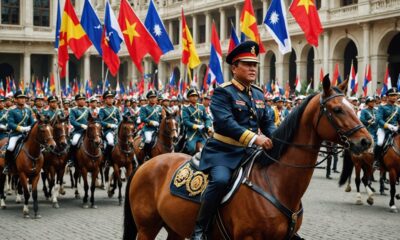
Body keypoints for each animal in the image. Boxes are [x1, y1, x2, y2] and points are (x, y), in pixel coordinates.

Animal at [122, 78, 372, 239]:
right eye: (338, 109)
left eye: (353, 106)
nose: (366, 141)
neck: (277, 182)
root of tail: (145, 166)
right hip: (147, 228)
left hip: (174, 226)